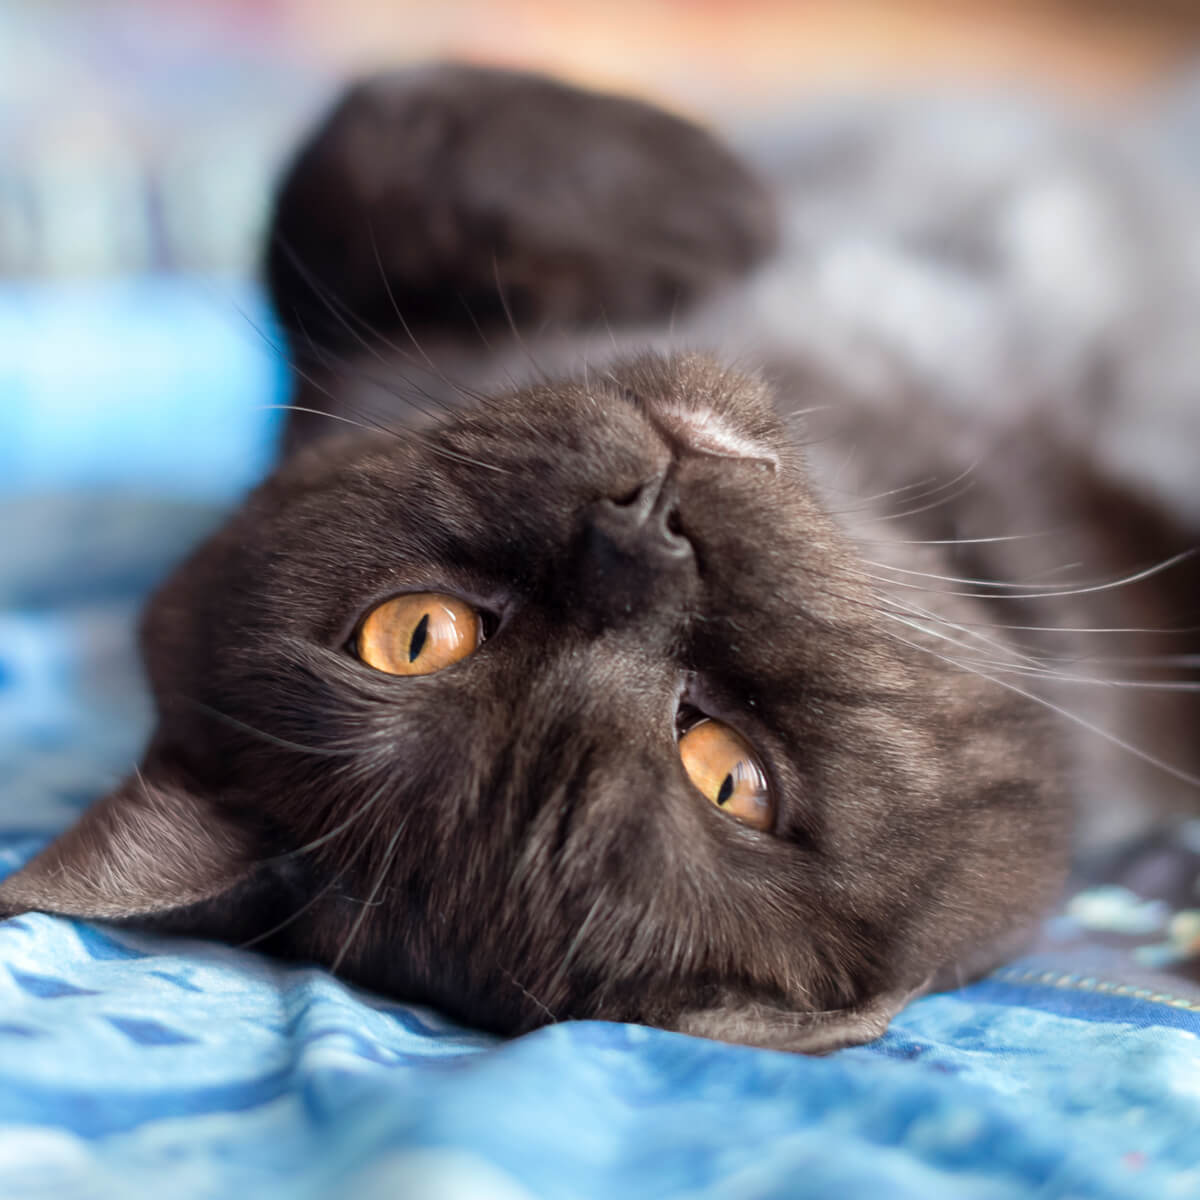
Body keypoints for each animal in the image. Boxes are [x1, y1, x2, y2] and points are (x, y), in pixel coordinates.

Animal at [0, 63, 1195, 1051]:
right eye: (729, 777)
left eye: (415, 634)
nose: (640, 533)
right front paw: (732, 211)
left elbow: (354, 152)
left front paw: (708, 209)